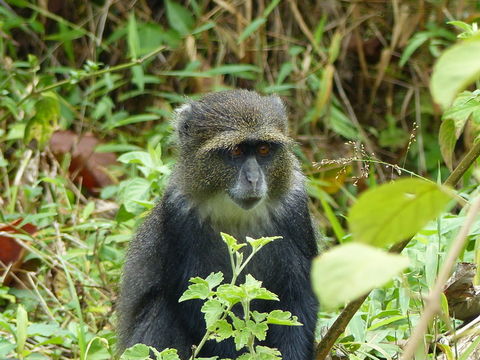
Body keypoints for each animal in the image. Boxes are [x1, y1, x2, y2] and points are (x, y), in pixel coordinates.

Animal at [116, 90, 318, 360]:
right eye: (236, 152)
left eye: (264, 149)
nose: (253, 179)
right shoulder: (179, 213)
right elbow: (197, 300)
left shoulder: (294, 208)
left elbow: (299, 297)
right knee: (162, 312)